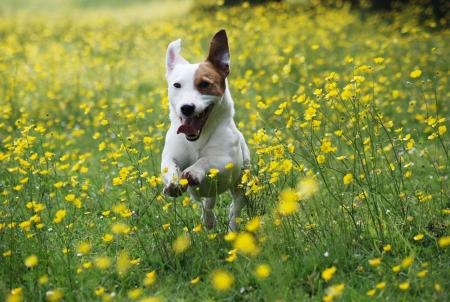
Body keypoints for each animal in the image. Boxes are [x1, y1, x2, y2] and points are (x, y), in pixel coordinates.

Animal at [161, 29, 251, 230]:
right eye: (176, 85)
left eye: (204, 84)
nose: (187, 108)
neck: (196, 139)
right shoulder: (171, 155)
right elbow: (170, 166)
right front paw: (174, 183)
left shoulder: (225, 160)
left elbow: (206, 160)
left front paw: (193, 171)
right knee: (207, 203)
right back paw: (209, 220)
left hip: (242, 183)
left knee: (235, 209)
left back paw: (232, 229)